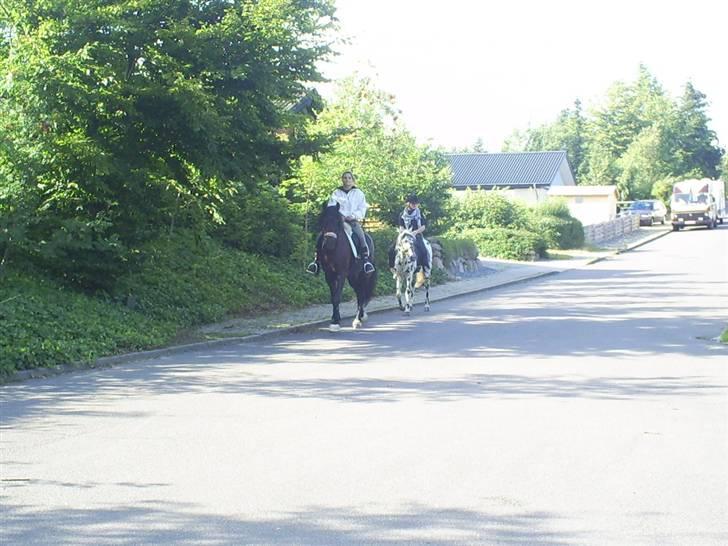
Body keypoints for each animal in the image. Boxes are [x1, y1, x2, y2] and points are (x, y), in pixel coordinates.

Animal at [318, 202, 378, 330]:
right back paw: (361, 316)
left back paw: (357, 320)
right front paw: (335, 318)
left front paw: (335, 322)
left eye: (337, 221)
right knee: (359, 292)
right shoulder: (329, 274)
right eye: (324, 220)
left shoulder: (341, 273)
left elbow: (337, 297)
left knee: (361, 294)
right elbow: (333, 297)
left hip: (362, 276)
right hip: (353, 277)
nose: (329, 244)